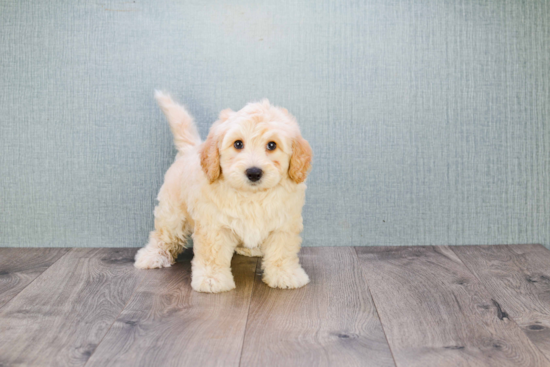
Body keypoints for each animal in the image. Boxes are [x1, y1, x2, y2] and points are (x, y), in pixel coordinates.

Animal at [135, 93, 312, 294]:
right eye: (238, 144)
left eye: (272, 145)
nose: (254, 172)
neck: (252, 196)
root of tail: (190, 149)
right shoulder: (213, 225)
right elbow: (213, 254)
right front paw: (212, 279)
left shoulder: (284, 223)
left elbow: (282, 251)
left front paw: (285, 274)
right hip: (172, 211)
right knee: (164, 235)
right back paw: (152, 255)